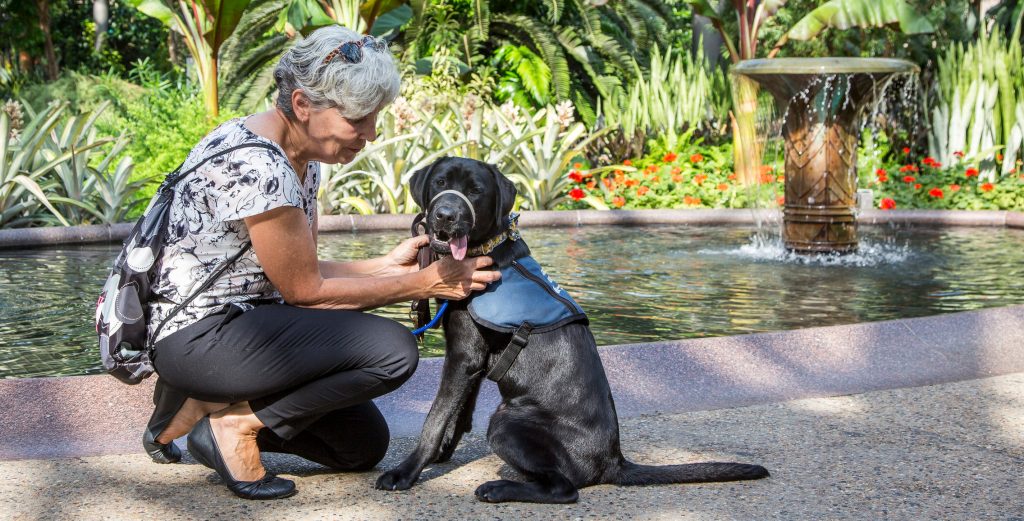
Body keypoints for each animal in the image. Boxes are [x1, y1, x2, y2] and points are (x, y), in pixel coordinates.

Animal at [376, 156, 770, 501]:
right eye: (440, 183)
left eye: (475, 191)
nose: (445, 215)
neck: (484, 250)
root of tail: (614, 461)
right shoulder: (471, 358)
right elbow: (458, 414)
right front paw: (441, 454)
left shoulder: (463, 356)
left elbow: (435, 417)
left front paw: (407, 472)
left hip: (506, 421)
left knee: (565, 489)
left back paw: (499, 489)